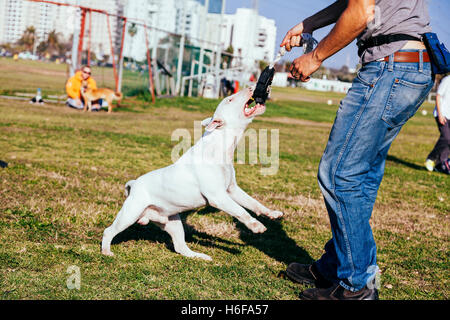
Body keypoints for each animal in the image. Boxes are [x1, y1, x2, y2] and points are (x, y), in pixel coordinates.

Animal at [102, 86, 284, 262]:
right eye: (230, 100)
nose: (251, 88)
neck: (219, 148)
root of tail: (134, 185)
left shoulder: (232, 190)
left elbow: (253, 203)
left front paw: (273, 213)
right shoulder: (218, 197)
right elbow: (240, 210)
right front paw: (256, 226)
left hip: (173, 222)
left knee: (180, 247)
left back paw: (201, 256)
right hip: (129, 215)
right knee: (109, 231)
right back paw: (106, 252)